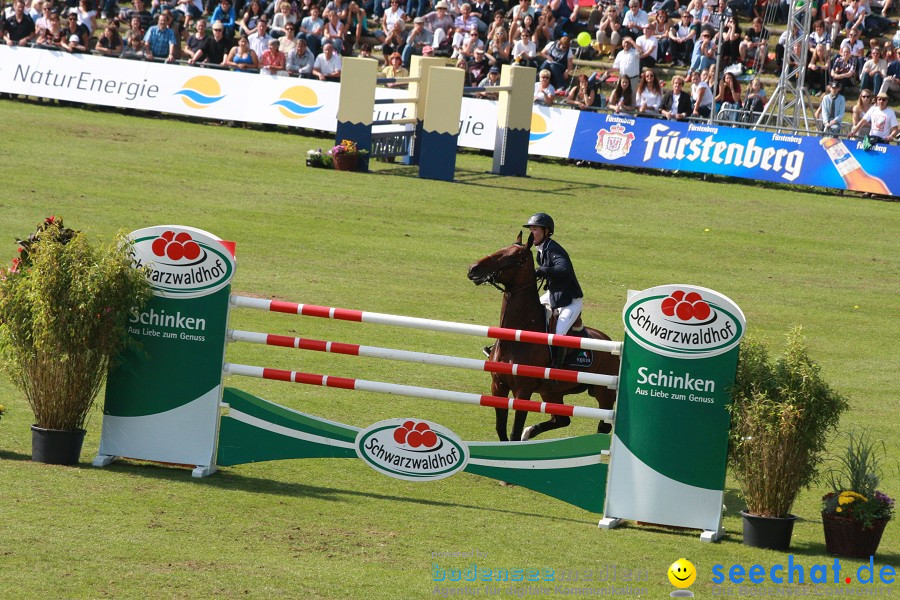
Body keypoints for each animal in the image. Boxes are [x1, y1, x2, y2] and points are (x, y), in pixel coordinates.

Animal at [464, 232, 620, 442]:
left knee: (603, 425)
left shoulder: (523, 391)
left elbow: (512, 432)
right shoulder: (498, 387)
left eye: (512, 257)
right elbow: (501, 429)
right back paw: (530, 432)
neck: (518, 335)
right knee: (562, 420)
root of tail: (611, 344)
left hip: (603, 393)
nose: (473, 268)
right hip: (551, 392)